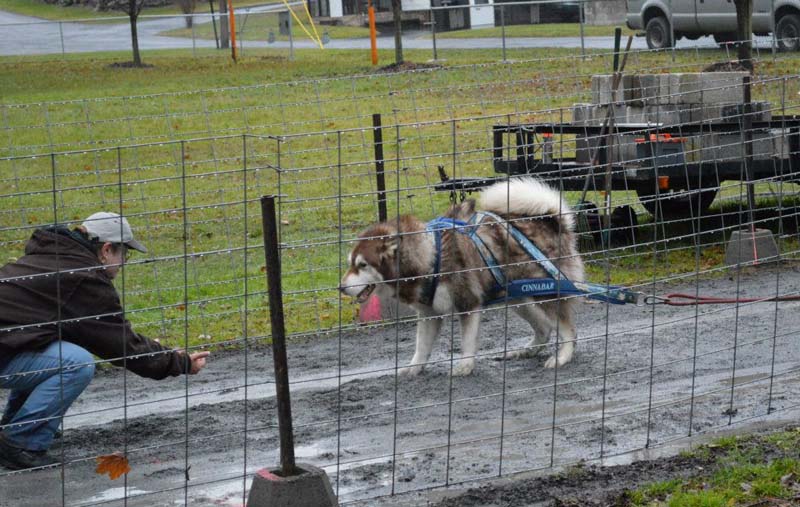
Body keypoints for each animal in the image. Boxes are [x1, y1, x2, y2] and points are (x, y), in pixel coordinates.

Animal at [340, 179, 584, 378]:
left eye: (362, 265)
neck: (431, 256)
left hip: (545, 295)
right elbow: (421, 347)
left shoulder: (468, 304)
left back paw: (562, 357)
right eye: (350, 263)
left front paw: (465, 367)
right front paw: (413, 368)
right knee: (544, 329)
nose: (340, 287)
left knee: (568, 330)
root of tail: (552, 221)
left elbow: (466, 342)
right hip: (520, 297)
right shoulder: (428, 314)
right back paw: (526, 351)